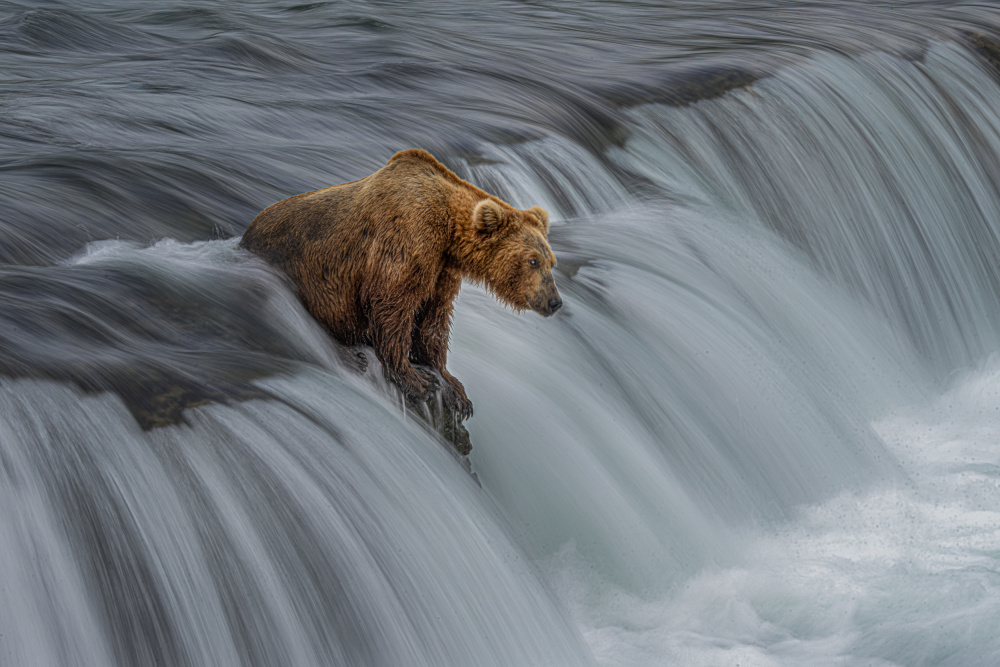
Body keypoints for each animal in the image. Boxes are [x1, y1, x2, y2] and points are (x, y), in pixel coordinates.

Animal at [238, 149, 560, 420]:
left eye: (551, 262)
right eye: (532, 261)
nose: (555, 301)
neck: (449, 234)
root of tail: (245, 234)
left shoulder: (442, 271)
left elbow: (434, 320)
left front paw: (455, 388)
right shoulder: (408, 238)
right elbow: (392, 304)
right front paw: (418, 380)